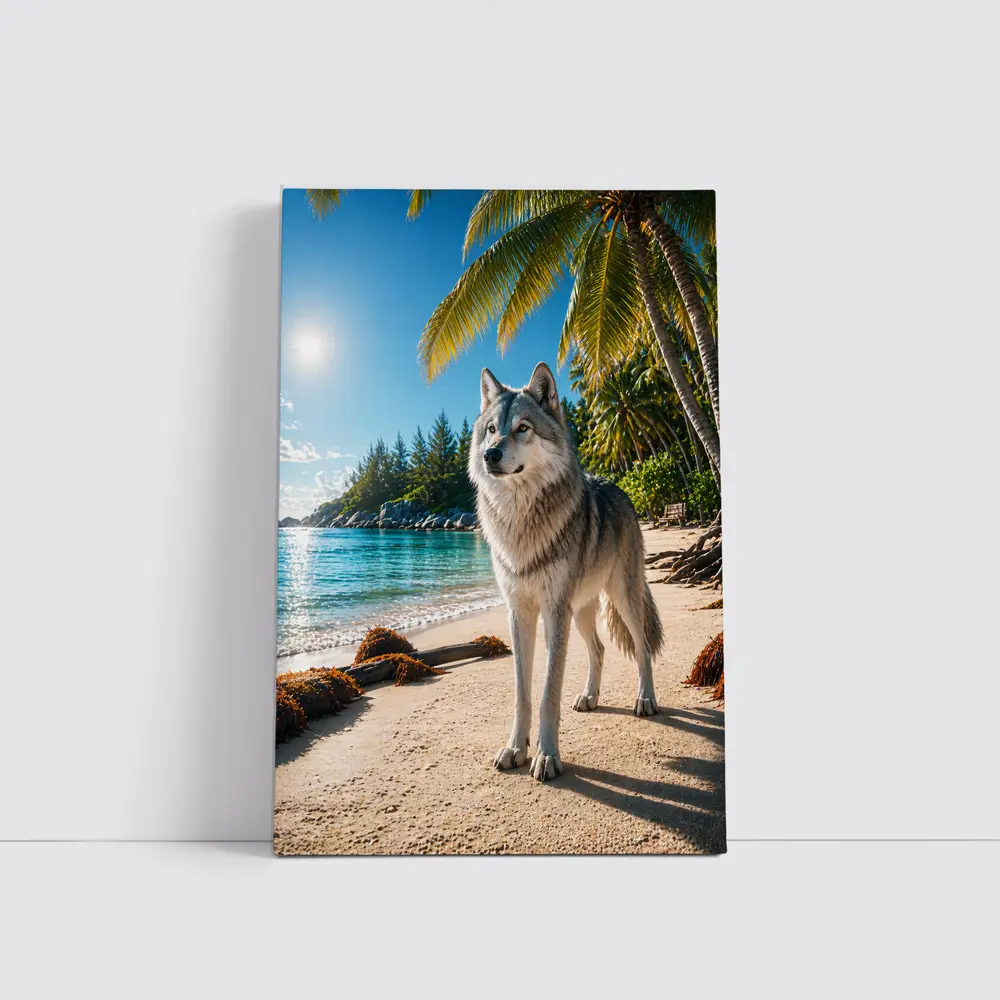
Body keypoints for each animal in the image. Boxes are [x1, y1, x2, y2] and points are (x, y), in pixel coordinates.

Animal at [470, 361, 664, 782]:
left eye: (522, 428)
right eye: (491, 429)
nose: (491, 454)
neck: (520, 521)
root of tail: (620, 487)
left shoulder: (554, 612)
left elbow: (547, 694)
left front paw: (546, 756)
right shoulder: (519, 613)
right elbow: (522, 694)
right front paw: (515, 748)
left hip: (622, 598)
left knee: (642, 648)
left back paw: (645, 700)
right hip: (582, 611)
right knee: (600, 650)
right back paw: (590, 696)